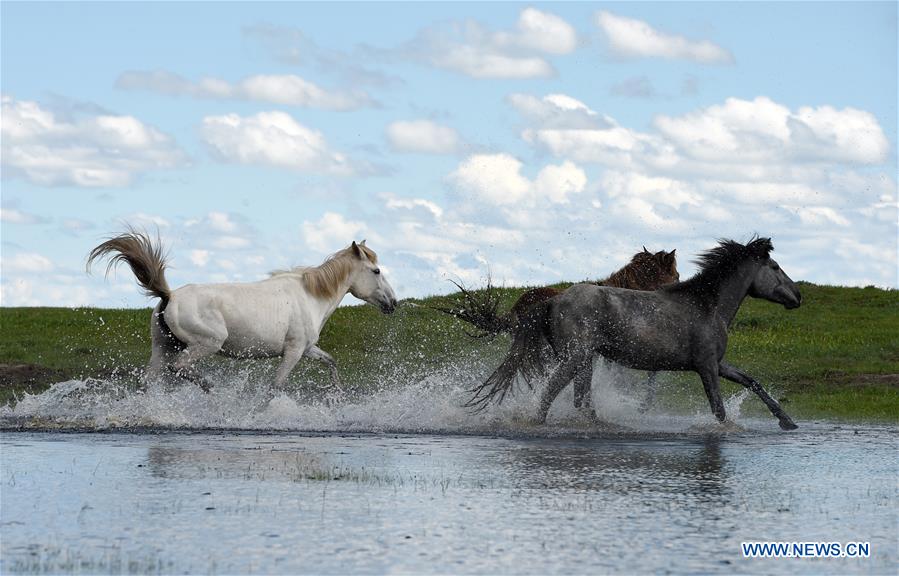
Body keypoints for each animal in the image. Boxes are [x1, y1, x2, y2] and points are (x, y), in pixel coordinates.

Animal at [87, 229, 398, 392]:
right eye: (376, 271)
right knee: (180, 368)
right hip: (206, 344)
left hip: (163, 347)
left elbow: (331, 362)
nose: (393, 303)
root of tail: (169, 296)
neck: (309, 296)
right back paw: (211, 388)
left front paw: (337, 395)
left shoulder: (308, 349)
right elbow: (276, 385)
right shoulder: (294, 351)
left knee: (152, 379)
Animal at [468, 237, 802, 431]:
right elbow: (718, 409)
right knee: (550, 393)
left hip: (584, 360)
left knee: (581, 400)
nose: (798, 297)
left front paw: (787, 421)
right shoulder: (706, 367)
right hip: (575, 357)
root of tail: (553, 300)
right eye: (775, 267)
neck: (708, 306)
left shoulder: (718, 364)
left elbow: (753, 382)